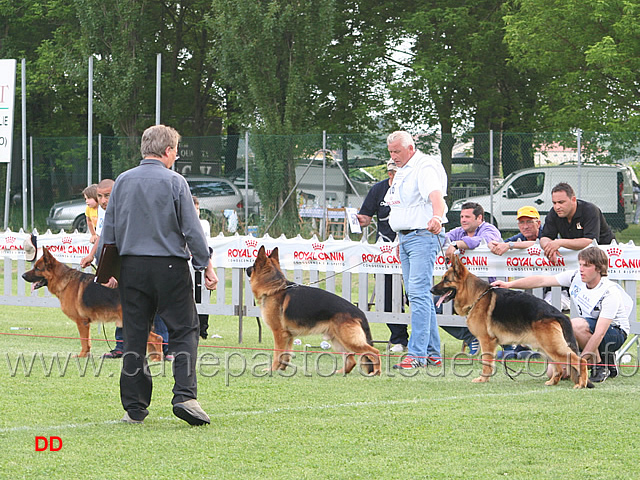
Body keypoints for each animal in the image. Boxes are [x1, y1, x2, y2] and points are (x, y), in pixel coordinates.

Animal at [22, 249, 164, 358]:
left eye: (37, 268)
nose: (23, 275)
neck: (63, 280)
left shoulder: (82, 322)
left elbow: (84, 341)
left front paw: (81, 356)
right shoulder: (86, 323)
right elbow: (88, 342)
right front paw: (86, 355)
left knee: (158, 339)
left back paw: (158, 359)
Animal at [246, 248, 380, 376]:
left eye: (253, 265)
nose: (246, 269)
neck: (274, 288)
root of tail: (360, 312)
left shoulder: (279, 333)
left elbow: (277, 354)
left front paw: (272, 370)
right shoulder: (289, 336)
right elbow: (286, 355)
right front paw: (281, 369)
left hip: (349, 340)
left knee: (374, 352)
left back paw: (376, 372)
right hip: (338, 340)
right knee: (351, 360)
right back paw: (340, 373)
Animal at [432, 256, 592, 388]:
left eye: (446, 279)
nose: (431, 290)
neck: (477, 296)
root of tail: (558, 313)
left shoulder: (486, 341)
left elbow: (486, 362)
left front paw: (483, 379)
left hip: (552, 347)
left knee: (580, 361)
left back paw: (581, 384)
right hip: (545, 347)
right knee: (558, 367)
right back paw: (552, 382)